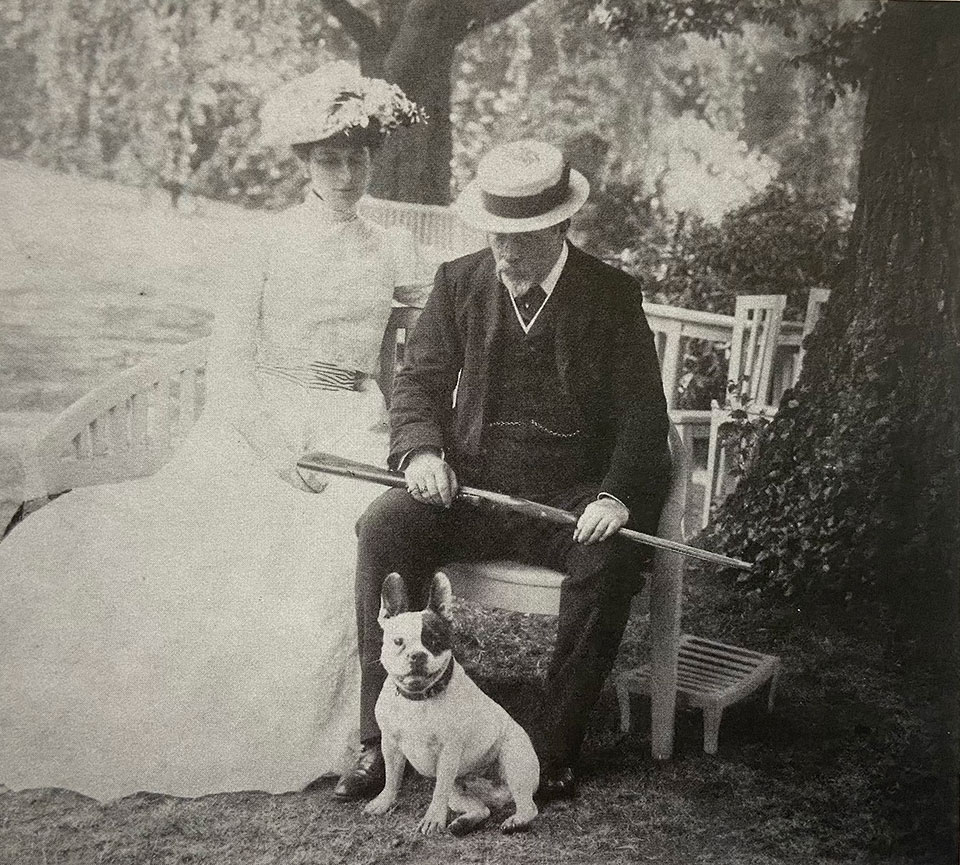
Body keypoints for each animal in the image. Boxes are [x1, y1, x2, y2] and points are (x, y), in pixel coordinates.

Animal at [364, 572, 540, 832]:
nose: (417, 655)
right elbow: (392, 777)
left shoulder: (448, 753)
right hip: (459, 790)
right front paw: (384, 801)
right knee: (482, 809)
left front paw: (433, 819)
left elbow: (438, 792)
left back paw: (515, 821)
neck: (420, 697)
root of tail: (497, 795)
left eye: (435, 641)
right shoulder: (391, 744)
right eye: (398, 641)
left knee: (529, 807)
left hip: (514, 762)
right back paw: (462, 824)